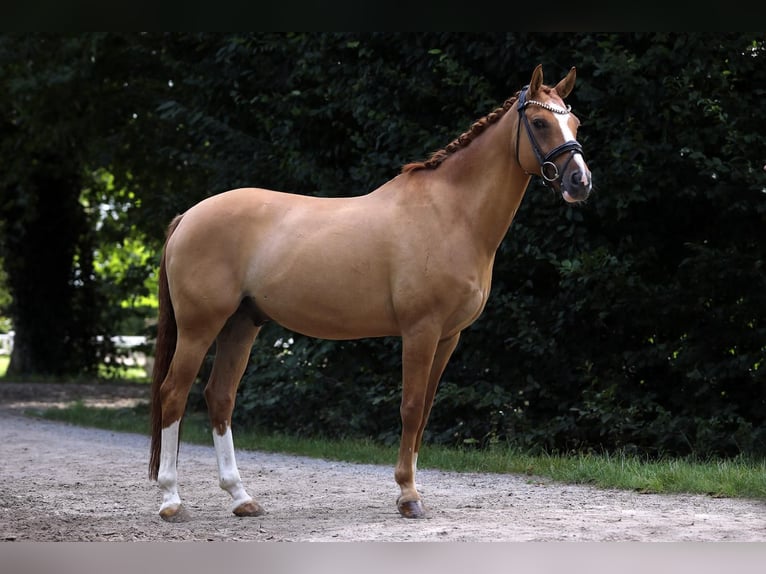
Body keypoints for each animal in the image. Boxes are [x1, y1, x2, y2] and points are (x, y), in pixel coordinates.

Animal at [150, 63, 592, 520]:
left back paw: (241, 497)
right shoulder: (421, 331)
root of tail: (188, 216)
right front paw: (408, 496)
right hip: (200, 327)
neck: (451, 213)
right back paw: (171, 500)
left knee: (220, 397)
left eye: (575, 123)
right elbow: (411, 408)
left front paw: (412, 488)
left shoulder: (448, 337)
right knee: (173, 393)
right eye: (539, 123)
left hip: (242, 324)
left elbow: (426, 409)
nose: (580, 181)